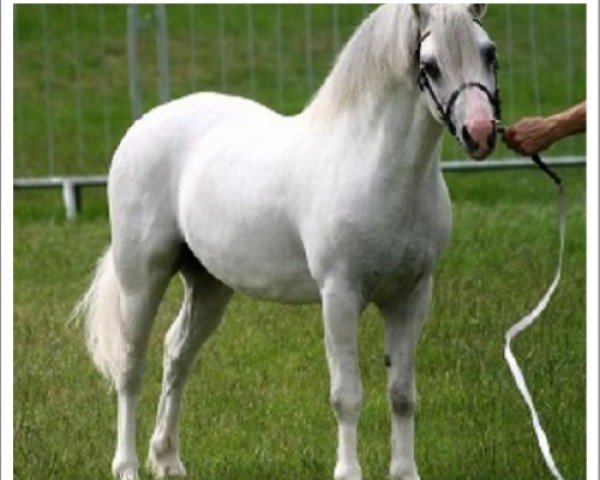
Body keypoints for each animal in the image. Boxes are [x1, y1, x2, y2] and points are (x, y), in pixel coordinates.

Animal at [76, 4, 496, 480]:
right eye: (430, 65)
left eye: (489, 53)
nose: (480, 131)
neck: (372, 166)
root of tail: (144, 124)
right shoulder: (340, 295)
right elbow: (346, 396)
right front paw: (347, 471)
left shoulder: (411, 295)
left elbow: (402, 394)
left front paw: (405, 472)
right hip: (141, 276)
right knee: (131, 366)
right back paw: (127, 465)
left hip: (208, 285)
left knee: (177, 355)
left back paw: (167, 459)